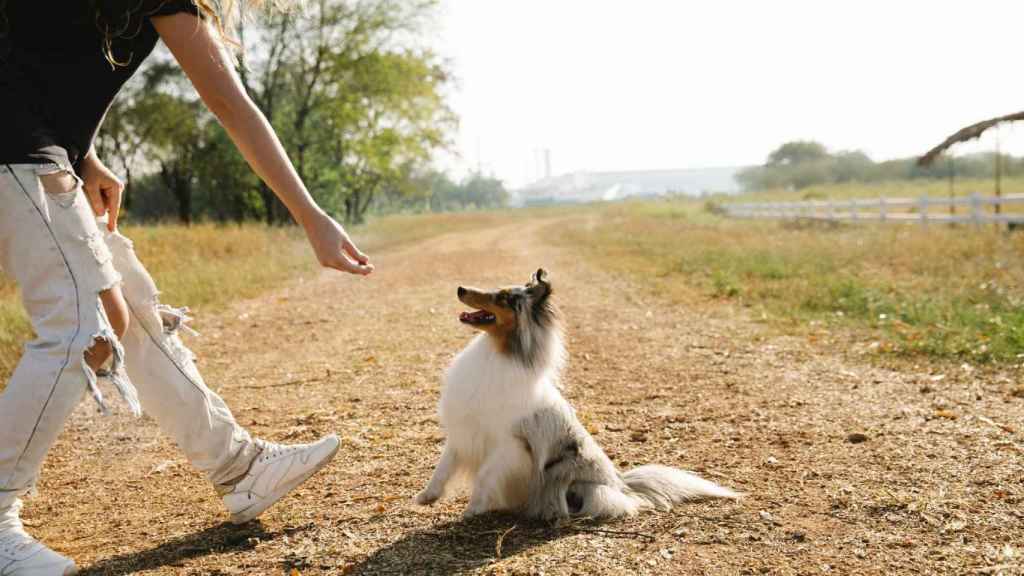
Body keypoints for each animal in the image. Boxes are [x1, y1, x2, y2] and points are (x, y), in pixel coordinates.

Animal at [411, 266, 741, 518]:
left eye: (503, 297)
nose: (460, 288)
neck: (498, 353)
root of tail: (622, 484)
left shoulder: (509, 445)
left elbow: (484, 477)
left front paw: (473, 510)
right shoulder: (463, 429)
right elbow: (443, 467)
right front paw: (427, 496)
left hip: (568, 474)